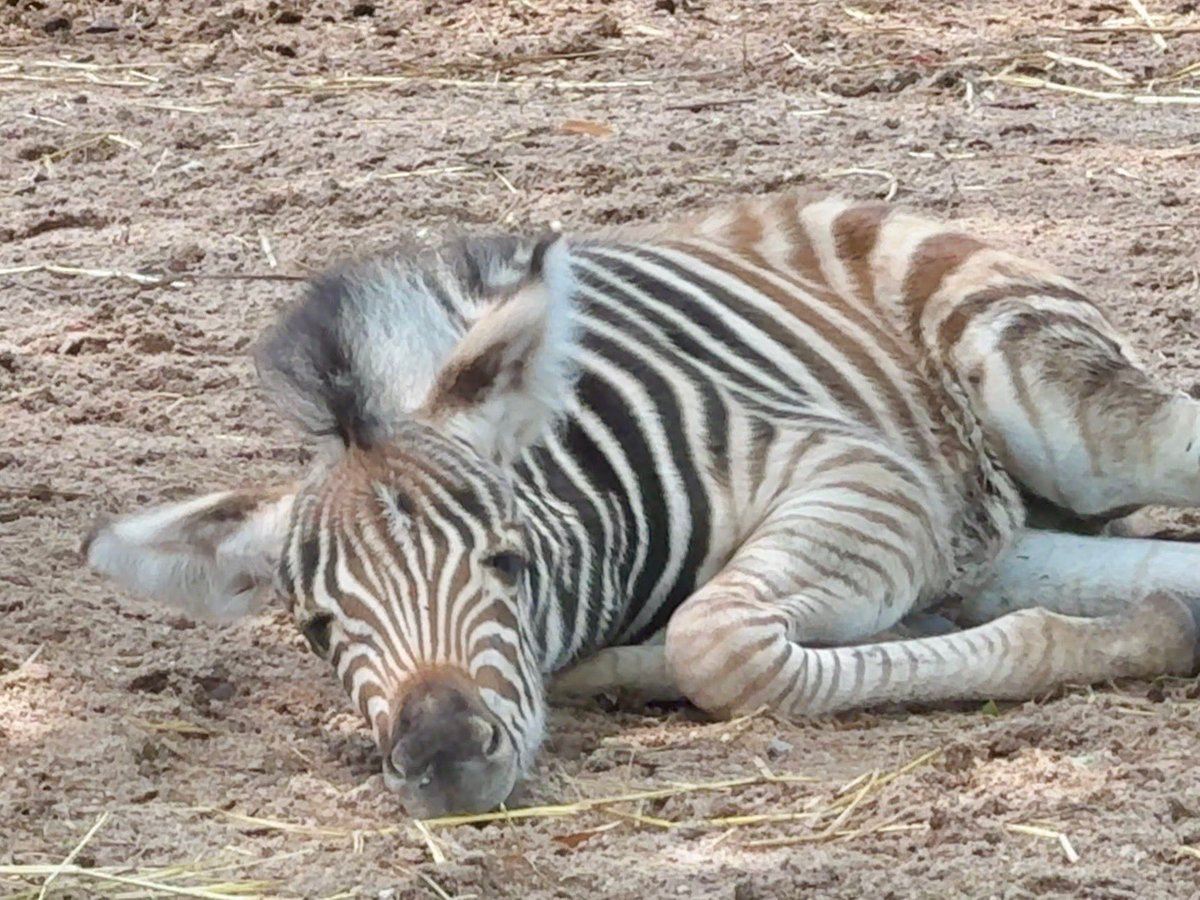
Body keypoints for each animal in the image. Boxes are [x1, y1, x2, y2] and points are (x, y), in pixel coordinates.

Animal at [83, 191, 1200, 818]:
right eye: (319, 629)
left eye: (507, 562)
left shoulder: (861, 477)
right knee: (1141, 576)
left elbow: (716, 644)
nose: (441, 756)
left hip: (1059, 412)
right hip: (1008, 537)